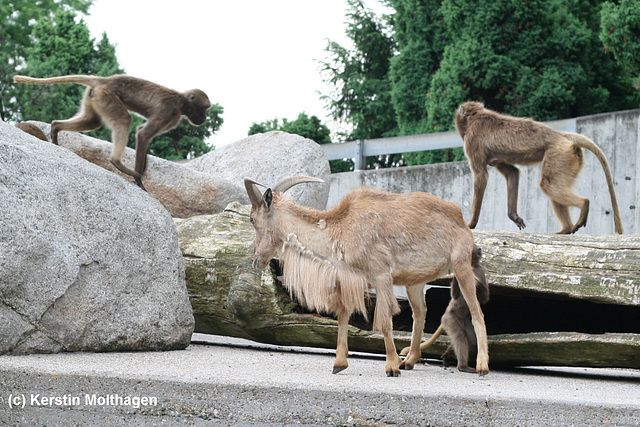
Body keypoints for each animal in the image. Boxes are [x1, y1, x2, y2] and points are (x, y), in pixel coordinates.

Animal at [245, 177, 490, 378]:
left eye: (252, 219)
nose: (256, 260)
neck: (341, 228)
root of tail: (460, 218)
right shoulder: (348, 281)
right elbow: (343, 316)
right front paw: (339, 364)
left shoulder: (381, 276)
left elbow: (385, 321)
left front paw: (391, 367)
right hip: (414, 282)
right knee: (420, 313)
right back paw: (409, 360)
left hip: (461, 265)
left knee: (476, 312)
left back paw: (481, 366)